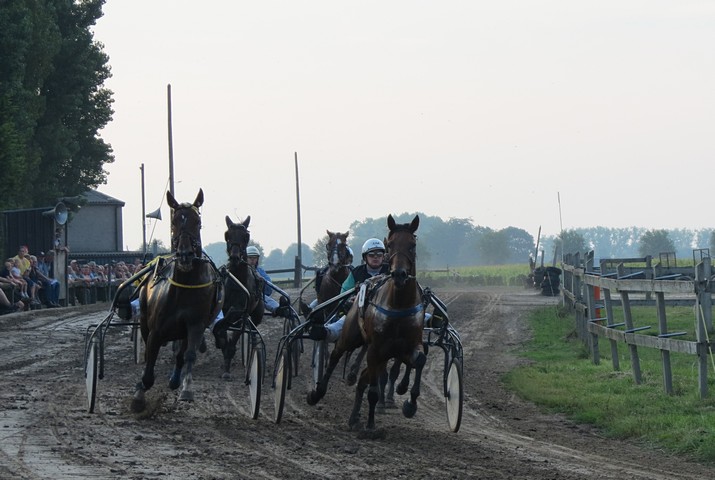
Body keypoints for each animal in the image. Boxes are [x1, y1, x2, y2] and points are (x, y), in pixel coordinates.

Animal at [131, 188, 224, 412]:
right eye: (174, 222)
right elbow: (150, 360)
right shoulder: (155, 329)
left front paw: (186, 389)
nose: (185, 255)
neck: (184, 289)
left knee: (181, 353)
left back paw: (175, 379)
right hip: (145, 319)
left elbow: (189, 355)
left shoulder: (196, 324)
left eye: (197, 222)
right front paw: (139, 393)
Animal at [308, 214, 426, 432]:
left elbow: (420, 360)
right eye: (390, 244)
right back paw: (318, 392)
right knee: (336, 354)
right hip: (351, 335)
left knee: (365, 377)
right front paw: (371, 426)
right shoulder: (376, 347)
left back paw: (354, 416)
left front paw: (409, 402)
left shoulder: (409, 345)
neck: (399, 304)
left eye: (412, 245)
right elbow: (372, 391)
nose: (399, 274)